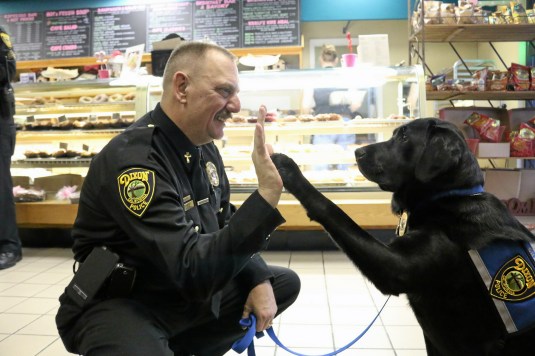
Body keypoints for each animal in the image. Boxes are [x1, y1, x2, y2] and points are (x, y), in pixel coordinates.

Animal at [274, 118, 535, 354]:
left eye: (404, 137)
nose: (358, 151)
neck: (448, 197)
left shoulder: (395, 266)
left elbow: (333, 211)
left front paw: (289, 169)